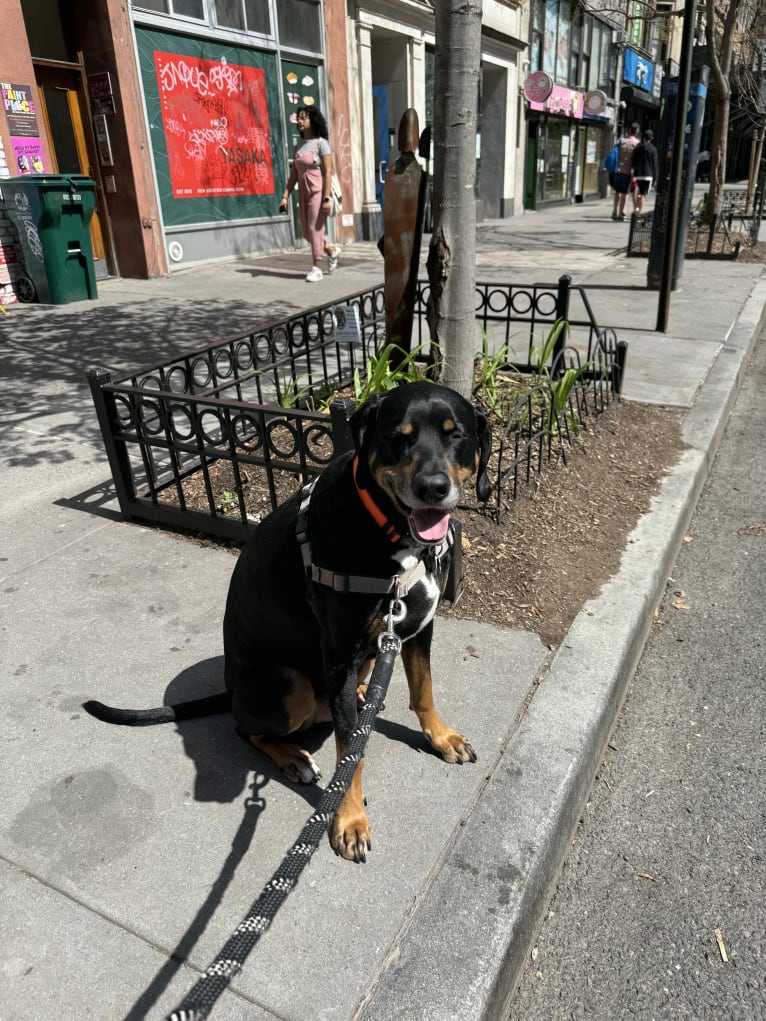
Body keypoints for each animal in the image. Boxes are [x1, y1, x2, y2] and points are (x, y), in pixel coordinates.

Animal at [83, 383, 492, 861]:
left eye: (455, 434)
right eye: (398, 437)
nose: (433, 488)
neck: (392, 532)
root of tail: (230, 691)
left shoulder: (418, 626)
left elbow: (423, 689)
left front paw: (441, 738)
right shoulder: (339, 655)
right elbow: (349, 754)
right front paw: (349, 821)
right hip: (289, 682)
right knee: (247, 728)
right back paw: (294, 756)